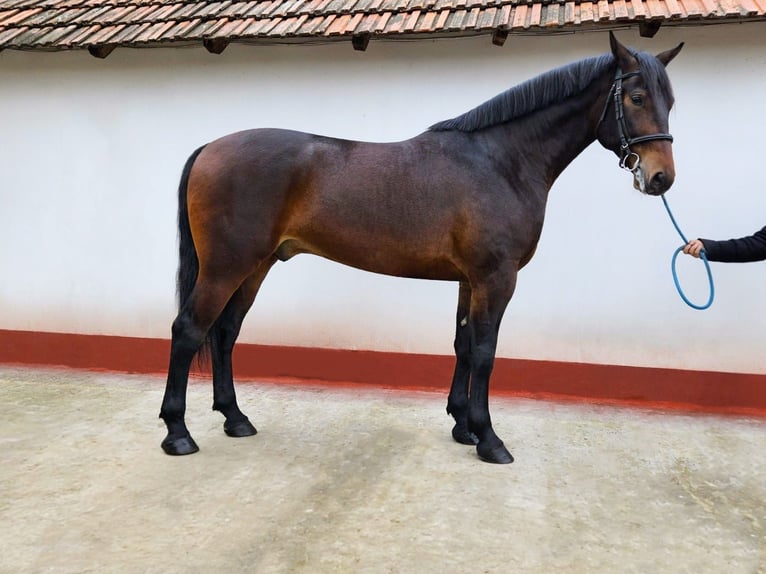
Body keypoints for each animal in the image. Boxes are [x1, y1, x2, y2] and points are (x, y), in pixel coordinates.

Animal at [159, 32, 683, 464]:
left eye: (671, 101)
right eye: (637, 97)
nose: (660, 178)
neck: (501, 161)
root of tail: (210, 148)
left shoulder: (470, 280)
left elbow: (464, 345)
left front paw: (463, 426)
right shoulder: (496, 278)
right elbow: (486, 351)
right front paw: (489, 439)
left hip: (256, 266)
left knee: (225, 333)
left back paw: (235, 419)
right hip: (226, 267)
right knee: (189, 330)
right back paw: (178, 433)